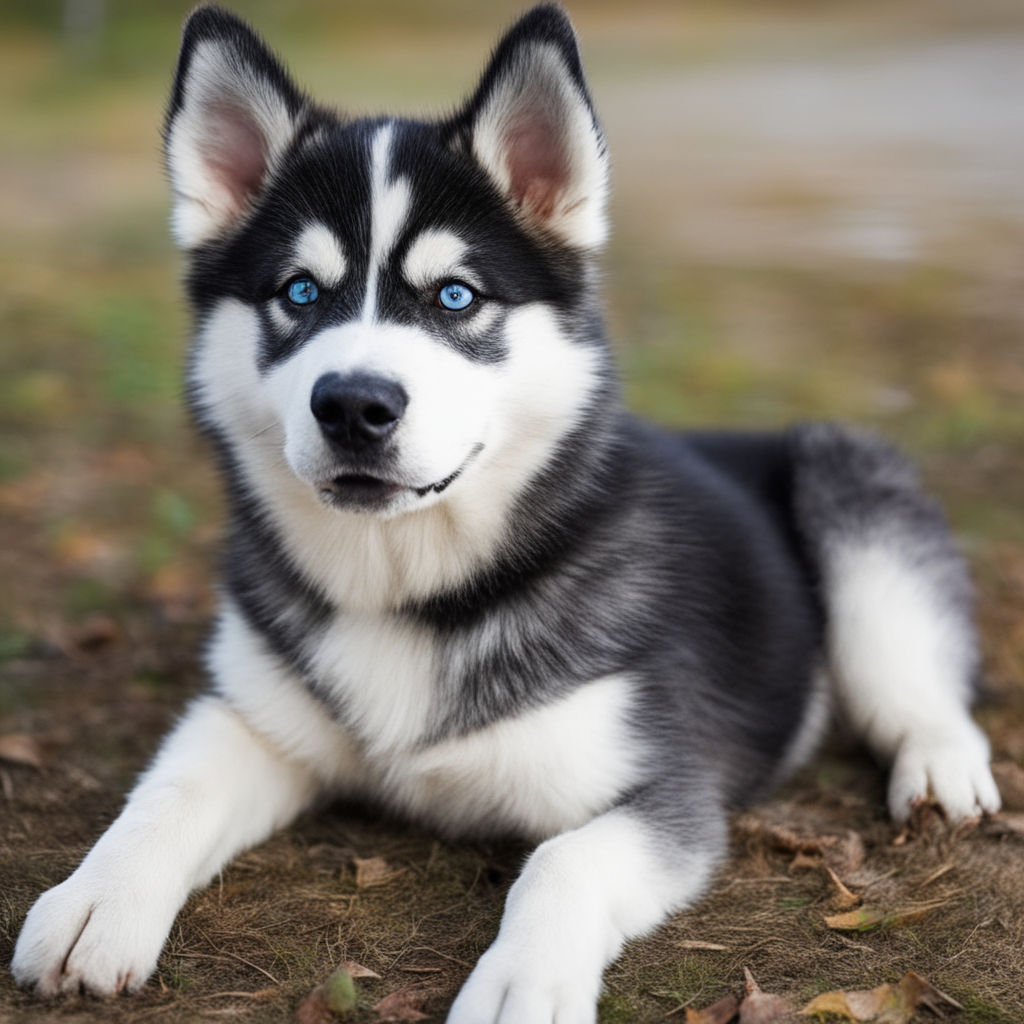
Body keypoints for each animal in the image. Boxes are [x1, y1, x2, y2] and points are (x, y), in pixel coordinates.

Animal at [8, 4, 999, 1019]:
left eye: (456, 296)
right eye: (299, 292)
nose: (353, 405)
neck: (407, 591)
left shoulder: (662, 790)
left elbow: (563, 860)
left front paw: (525, 977)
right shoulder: (254, 717)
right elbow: (168, 789)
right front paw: (97, 900)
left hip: (852, 498)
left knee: (915, 683)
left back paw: (939, 763)